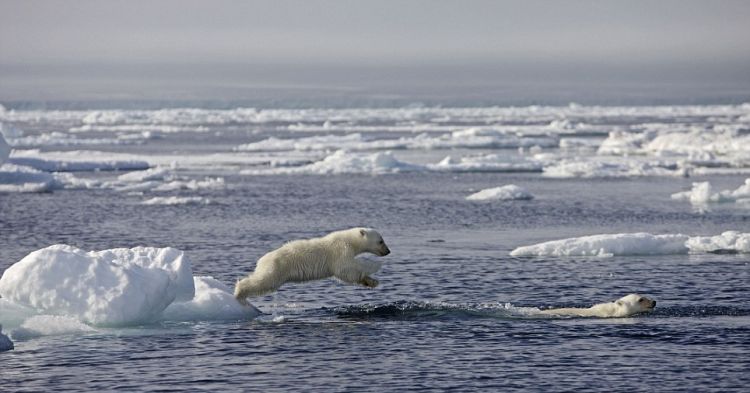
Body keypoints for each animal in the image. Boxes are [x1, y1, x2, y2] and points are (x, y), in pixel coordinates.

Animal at [235, 225, 390, 304]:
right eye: (381, 241)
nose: (388, 251)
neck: (349, 240)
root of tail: (261, 260)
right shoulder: (340, 250)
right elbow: (346, 268)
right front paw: (376, 265)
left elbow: (350, 273)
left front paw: (372, 282)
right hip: (276, 268)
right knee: (263, 281)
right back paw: (239, 292)